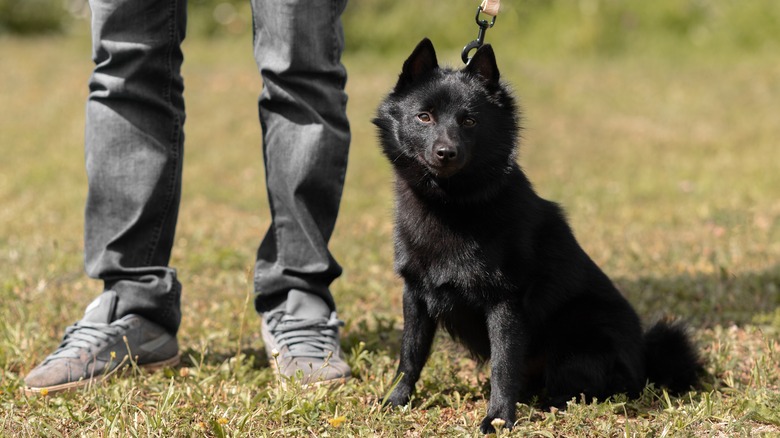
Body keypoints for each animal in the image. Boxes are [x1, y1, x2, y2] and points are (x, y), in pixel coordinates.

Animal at [372, 38, 700, 434]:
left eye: (469, 120)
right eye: (424, 116)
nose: (445, 152)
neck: (450, 206)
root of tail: (645, 363)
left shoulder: (504, 302)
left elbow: (503, 366)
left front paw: (498, 419)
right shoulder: (416, 294)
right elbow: (410, 355)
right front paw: (395, 401)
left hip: (579, 334)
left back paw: (553, 403)